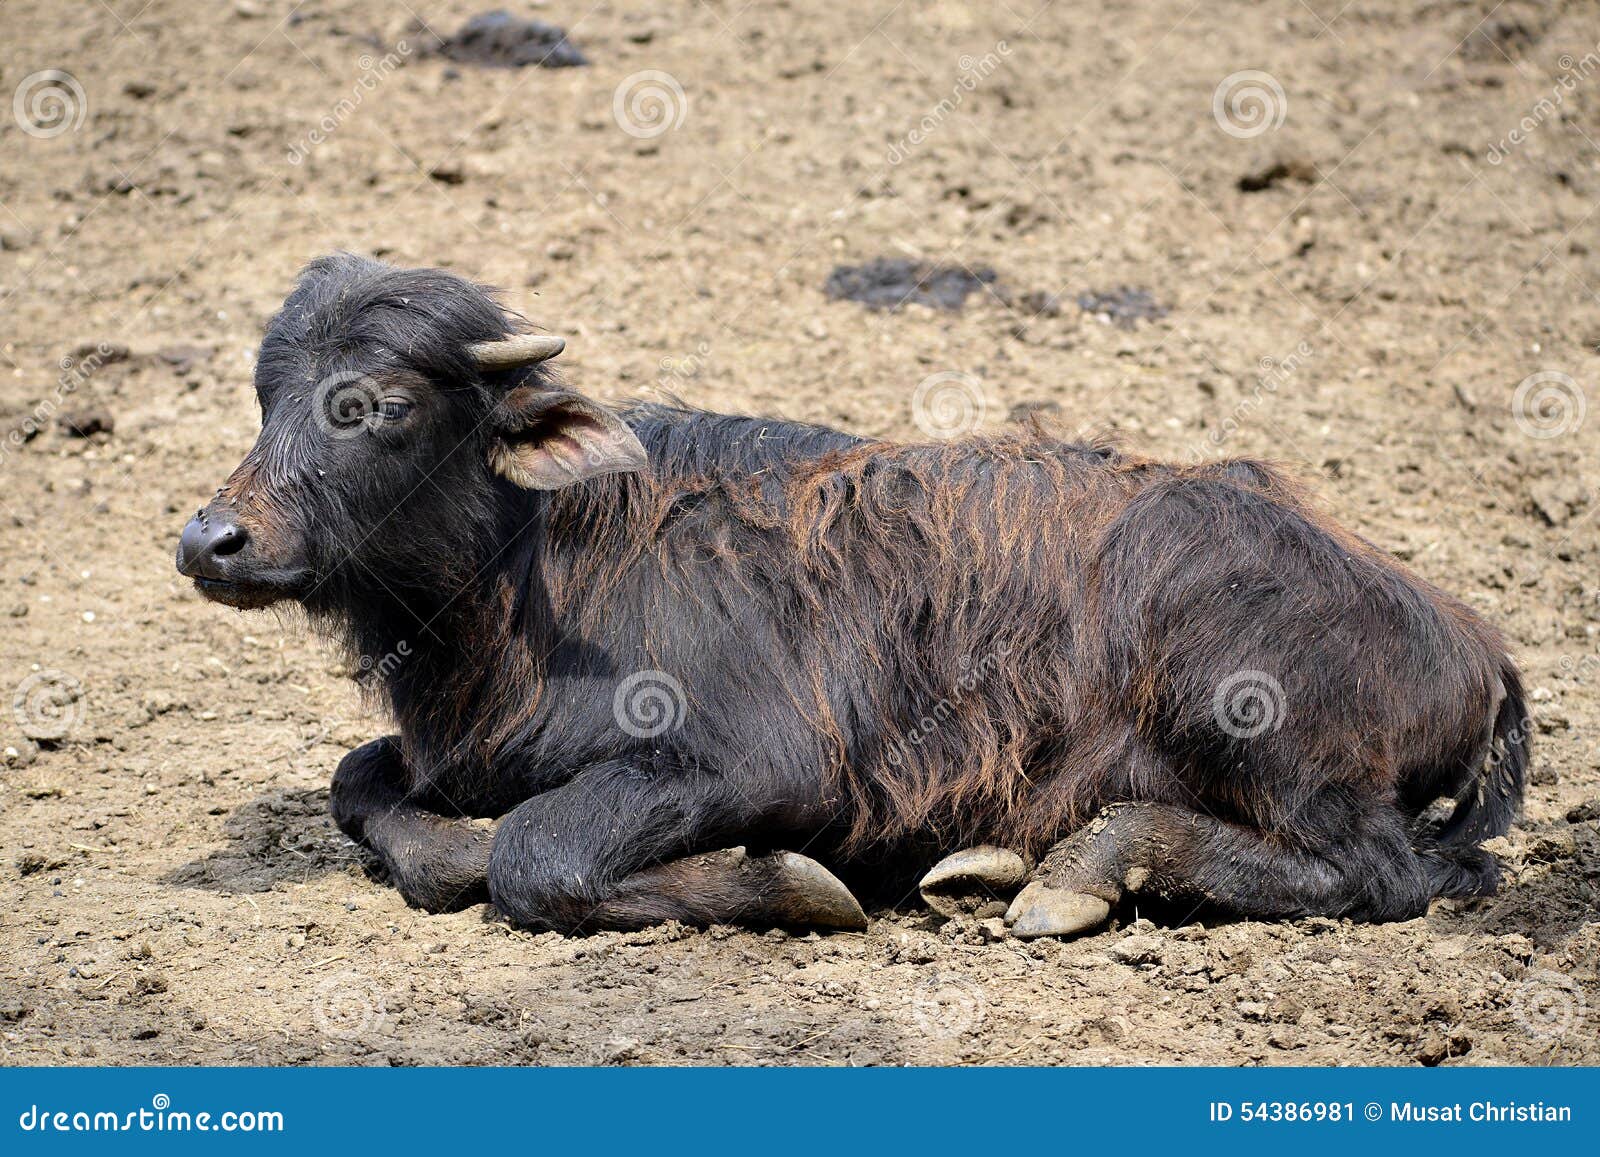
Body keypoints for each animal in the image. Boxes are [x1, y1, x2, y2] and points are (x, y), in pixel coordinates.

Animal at [175, 254, 1529, 939]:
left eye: (379, 402)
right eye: (267, 393)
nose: (212, 539)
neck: (538, 573)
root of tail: (1465, 634)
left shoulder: (751, 761)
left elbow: (533, 853)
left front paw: (789, 885)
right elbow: (364, 785)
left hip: (1254, 724)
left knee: (1380, 871)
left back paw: (1080, 870)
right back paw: (996, 862)